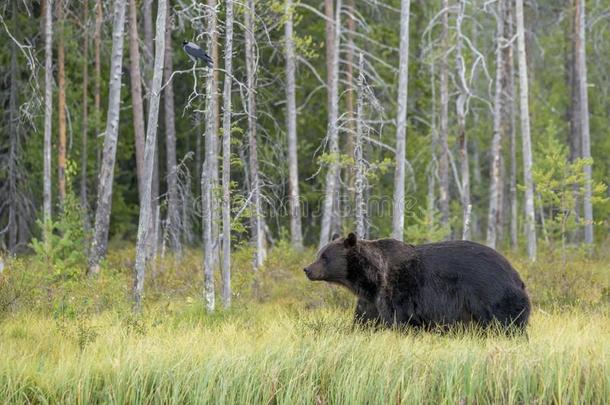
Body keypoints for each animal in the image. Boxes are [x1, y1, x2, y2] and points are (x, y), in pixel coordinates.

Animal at [302, 234, 528, 332]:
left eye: (325, 257)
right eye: (319, 253)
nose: (307, 269)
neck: (370, 280)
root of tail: (516, 275)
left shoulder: (398, 292)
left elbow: (398, 321)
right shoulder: (370, 301)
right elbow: (366, 321)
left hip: (491, 295)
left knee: (506, 324)